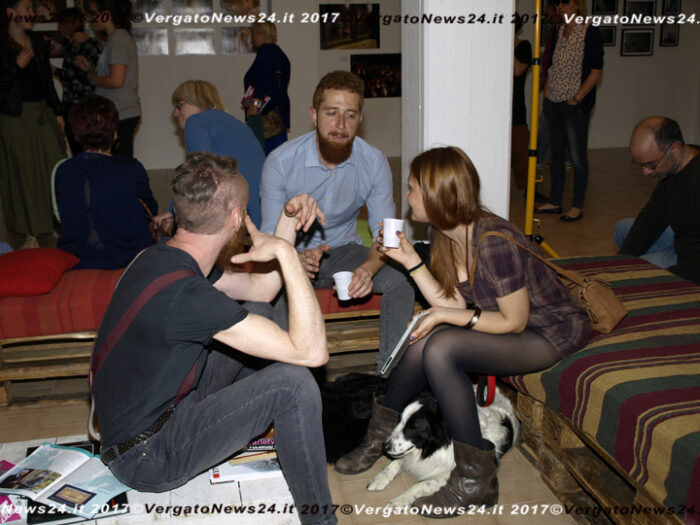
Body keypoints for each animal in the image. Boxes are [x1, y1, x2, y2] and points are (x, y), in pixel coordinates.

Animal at [366, 386, 519, 509]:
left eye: (414, 429)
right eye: (399, 420)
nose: (385, 446)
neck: (436, 447)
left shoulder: (447, 475)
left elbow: (420, 484)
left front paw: (399, 500)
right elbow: (394, 464)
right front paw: (379, 479)